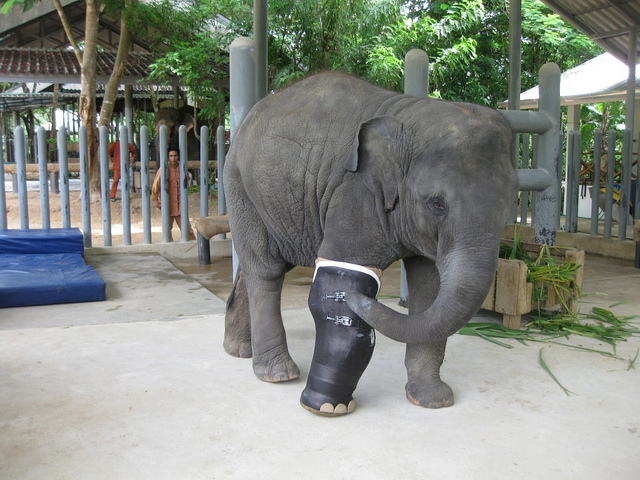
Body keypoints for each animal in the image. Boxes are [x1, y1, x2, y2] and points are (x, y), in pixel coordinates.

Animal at [223, 72, 518, 415]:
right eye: (437, 205)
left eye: (509, 206)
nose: (356, 299)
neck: (410, 115)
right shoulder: (354, 193)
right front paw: (329, 407)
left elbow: (430, 289)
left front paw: (433, 401)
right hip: (240, 187)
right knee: (266, 269)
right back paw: (277, 374)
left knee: (257, 265)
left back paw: (238, 350)